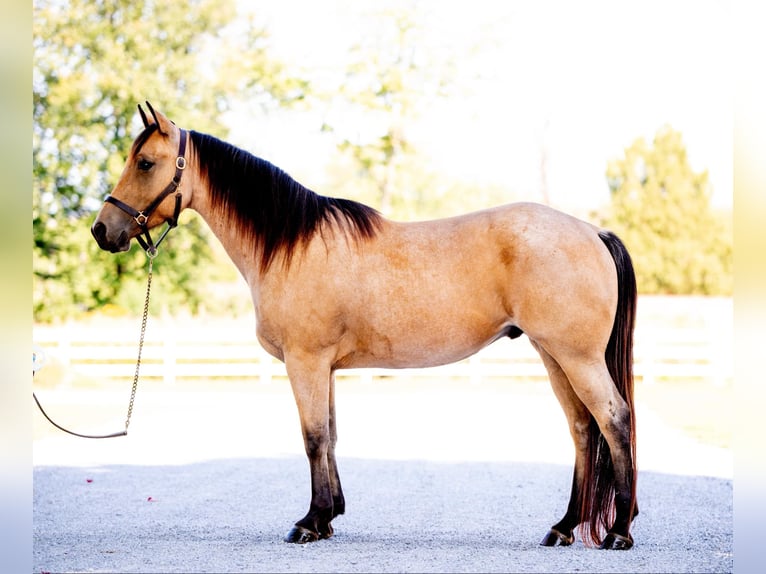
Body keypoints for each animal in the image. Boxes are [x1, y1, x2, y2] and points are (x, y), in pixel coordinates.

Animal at [91, 104, 640, 552]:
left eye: (145, 163)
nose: (101, 230)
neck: (291, 246)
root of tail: (592, 231)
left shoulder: (306, 361)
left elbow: (313, 437)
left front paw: (309, 523)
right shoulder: (325, 367)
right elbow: (331, 435)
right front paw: (329, 517)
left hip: (576, 357)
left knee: (614, 420)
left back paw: (618, 531)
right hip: (554, 355)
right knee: (582, 428)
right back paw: (564, 528)